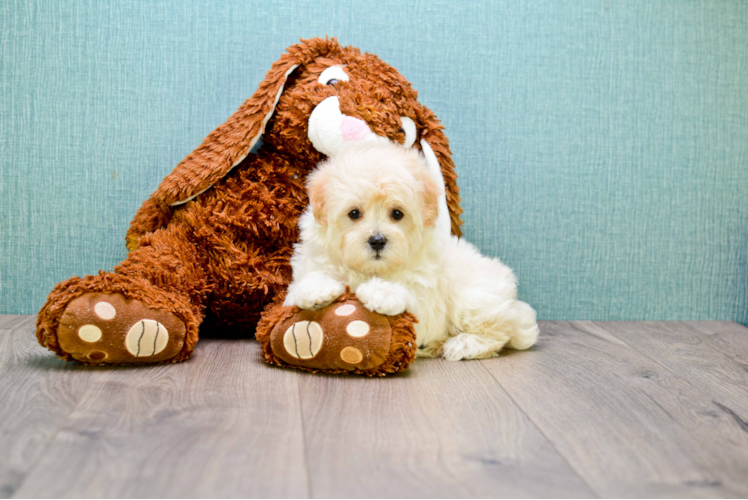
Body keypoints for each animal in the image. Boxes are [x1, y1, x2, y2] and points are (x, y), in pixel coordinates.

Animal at [282, 141, 536, 360]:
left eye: (397, 214)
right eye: (354, 213)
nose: (377, 240)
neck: (369, 269)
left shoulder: (427, 295)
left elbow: (411, 296)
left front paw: (380, 292)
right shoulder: (309, 265)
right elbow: (302, 285)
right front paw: (316, 290)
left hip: (474, 296)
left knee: (497, 331)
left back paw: (462, 345)